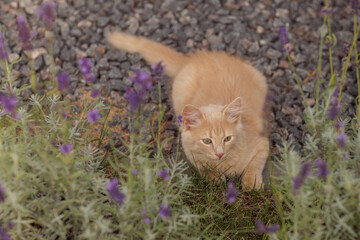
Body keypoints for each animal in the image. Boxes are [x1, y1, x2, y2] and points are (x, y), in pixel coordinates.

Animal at [108, 32, 268, 189]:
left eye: (227, 138)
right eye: (207, 141)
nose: (220, 154)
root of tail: (194, 58)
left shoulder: (262, 142)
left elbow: (256, 163)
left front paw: (251, 181)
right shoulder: (189, 150)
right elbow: (202, 164)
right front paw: (214, 177)